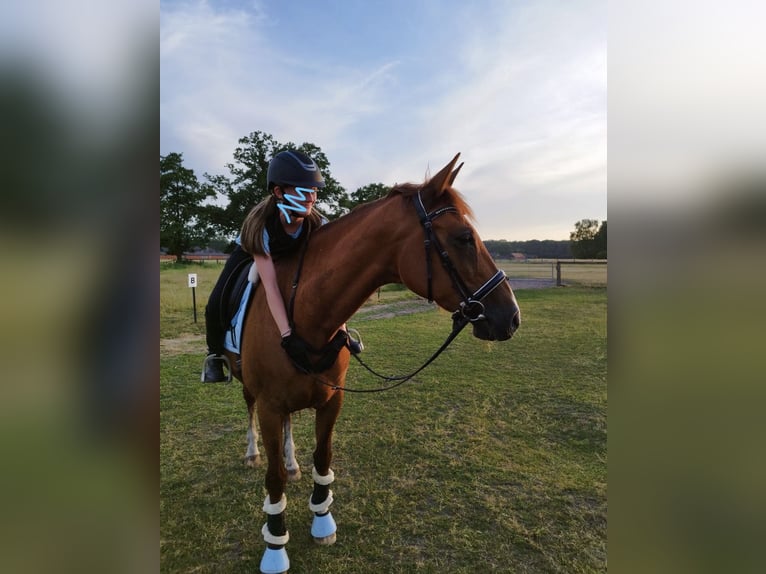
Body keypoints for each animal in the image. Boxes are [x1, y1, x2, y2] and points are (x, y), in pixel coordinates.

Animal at [224, 153, 520, 573]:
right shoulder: (269, 405)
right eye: (464, 238)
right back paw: (252, 453)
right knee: (250, 410)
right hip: (250, 388)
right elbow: (274, 477)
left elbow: (322, 457)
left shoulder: (332, 400)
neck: (306, 312)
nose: (511, 317)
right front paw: (275, 548)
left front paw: (322, 520)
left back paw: (292, 461)